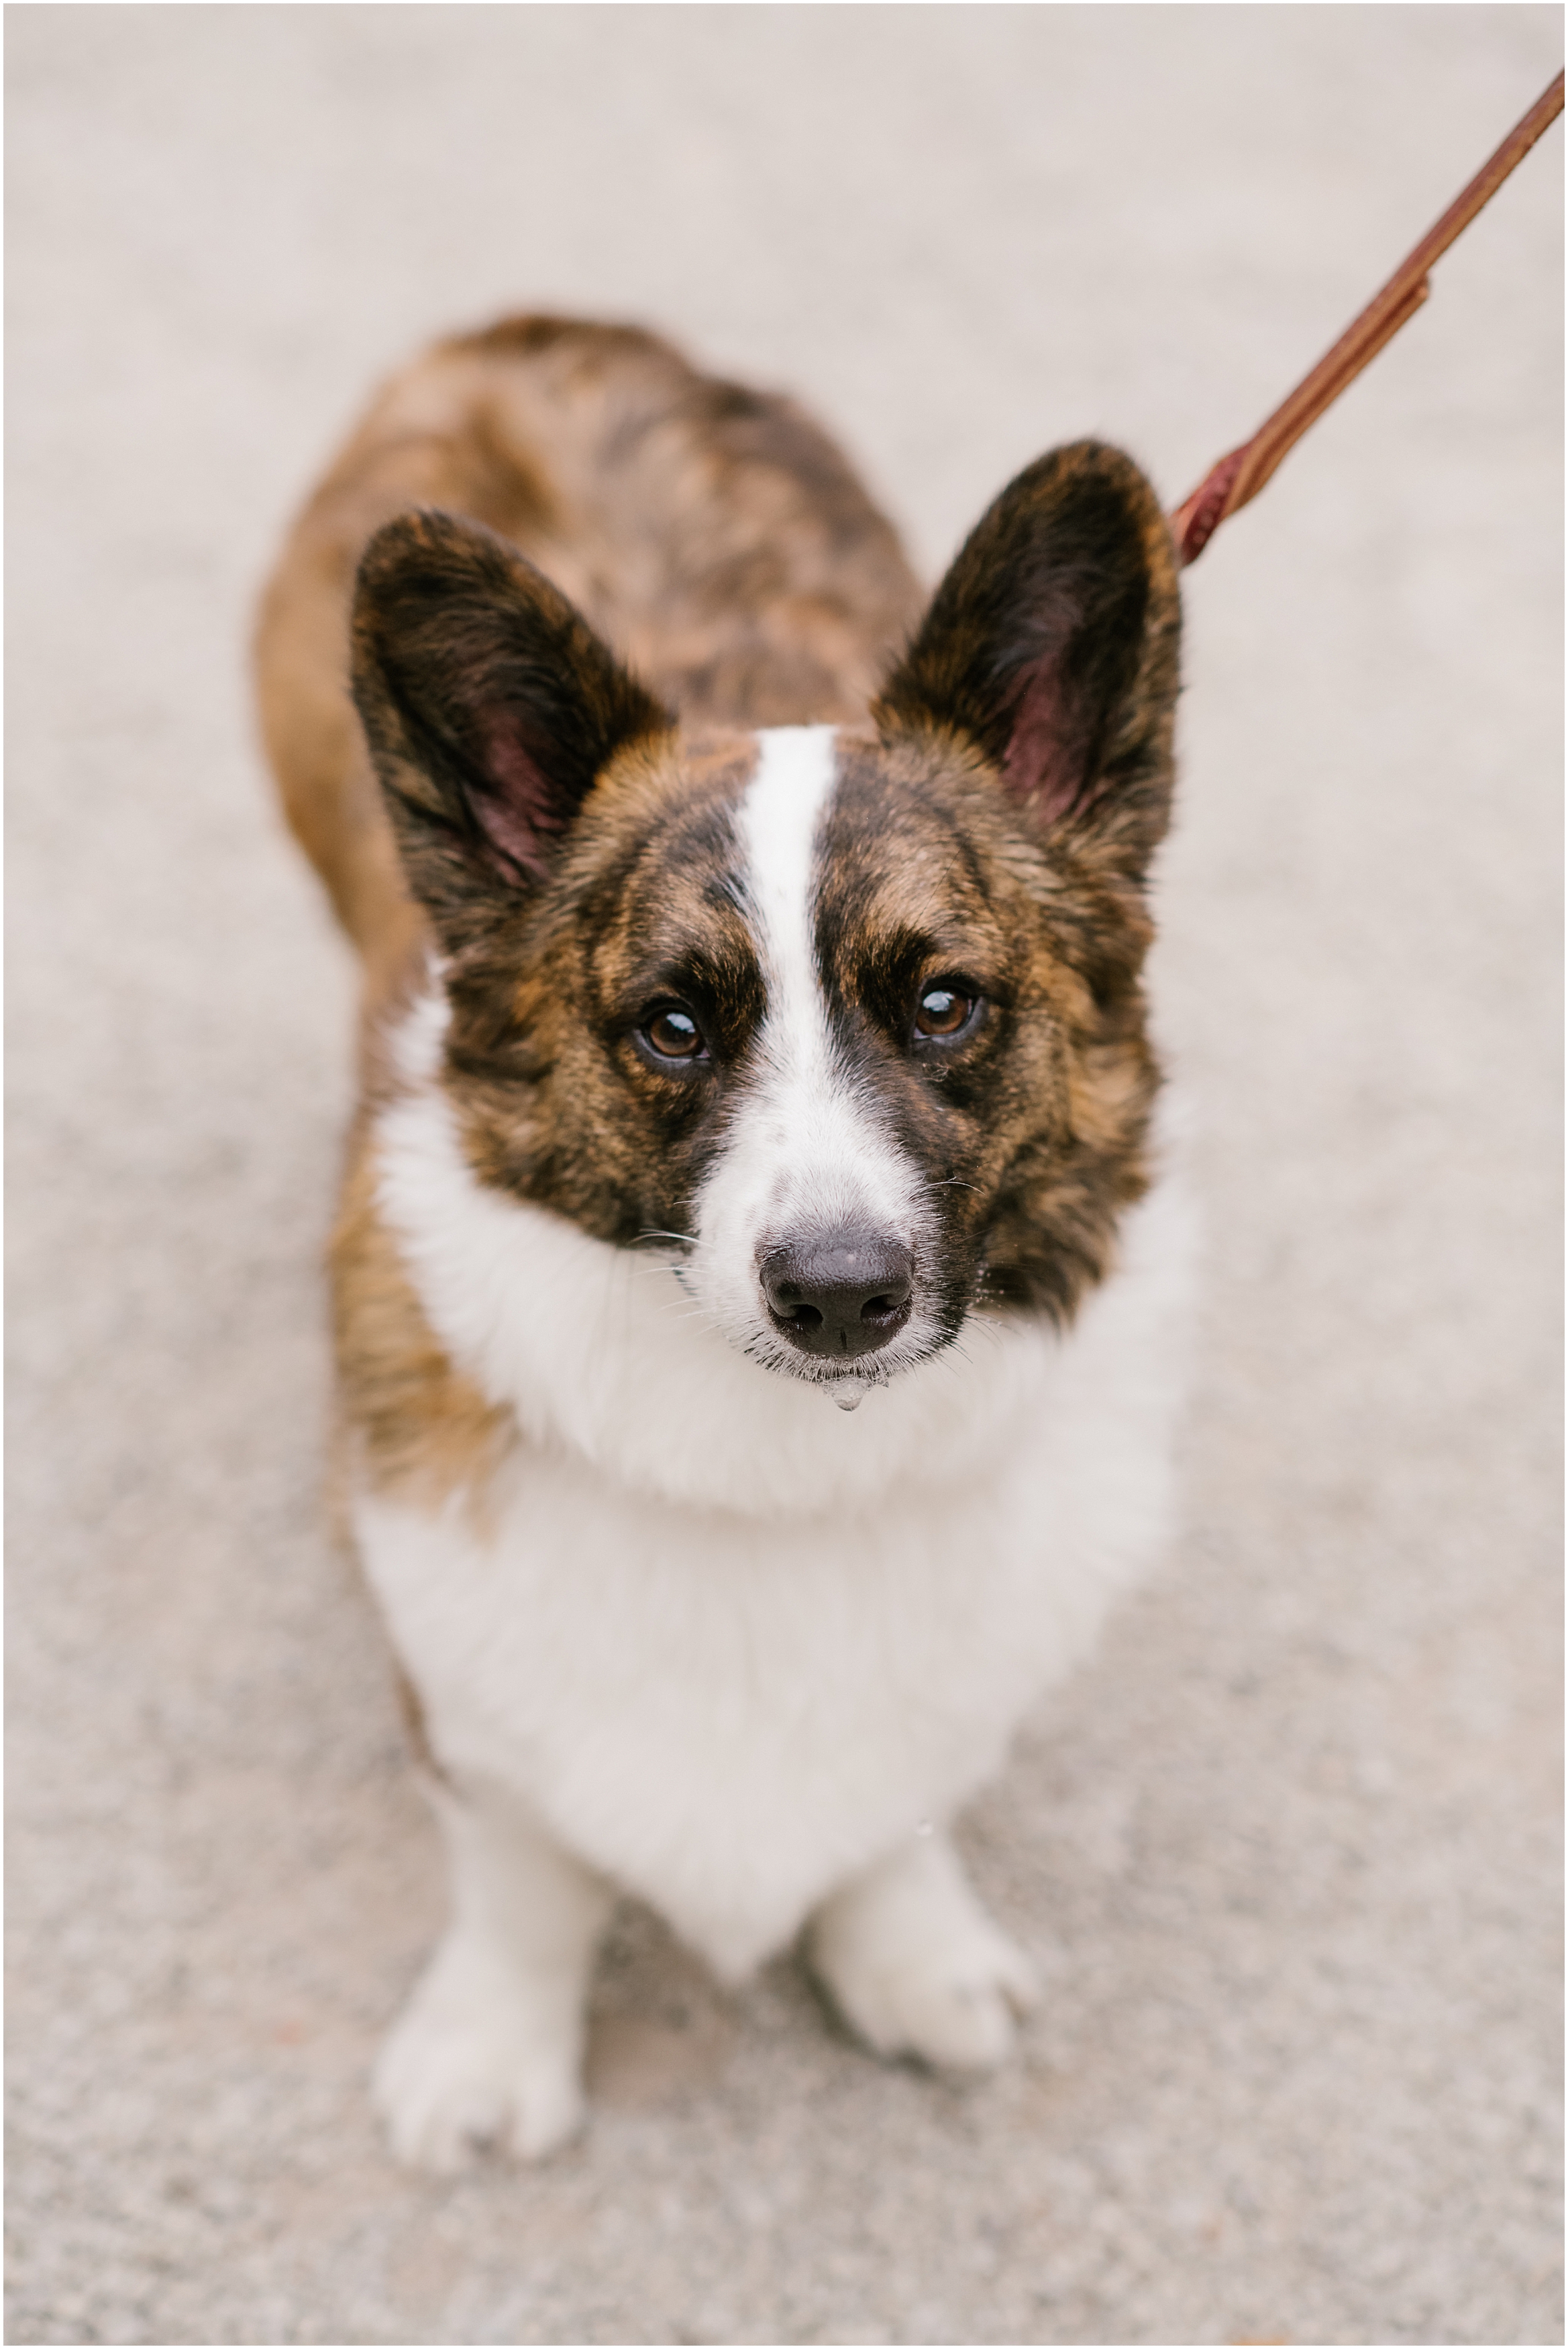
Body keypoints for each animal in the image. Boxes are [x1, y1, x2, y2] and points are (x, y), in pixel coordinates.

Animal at [254, 317, 1188, 2180]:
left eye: (944, 1003)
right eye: (672, 1027)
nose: (837, 1297)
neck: (782, 1463)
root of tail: (539, 321)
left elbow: (897, 1813)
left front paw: (910, 1961)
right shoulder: (459, 1688)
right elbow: (521, 1880)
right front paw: (490, 2052)